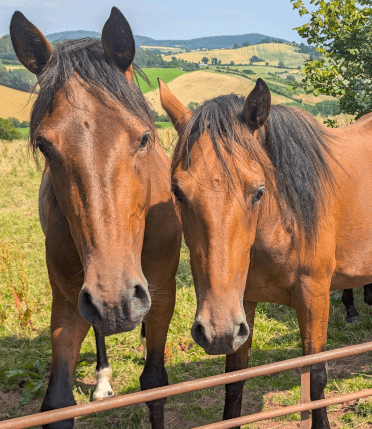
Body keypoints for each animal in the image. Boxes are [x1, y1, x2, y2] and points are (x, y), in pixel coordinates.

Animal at [10, 8, 182, 426]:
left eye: (143, 138)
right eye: (44, 145)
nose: (115, 301)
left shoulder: (163, 292)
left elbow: (155, 384)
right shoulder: (68, 302)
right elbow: (57, 403)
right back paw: (103, 379)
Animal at [161, 77, 372, 428]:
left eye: (258, 191)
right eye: (177, 191)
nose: (215, 329)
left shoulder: (314, 296)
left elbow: (316, 377)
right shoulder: (241, 305)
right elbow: (234, 381)